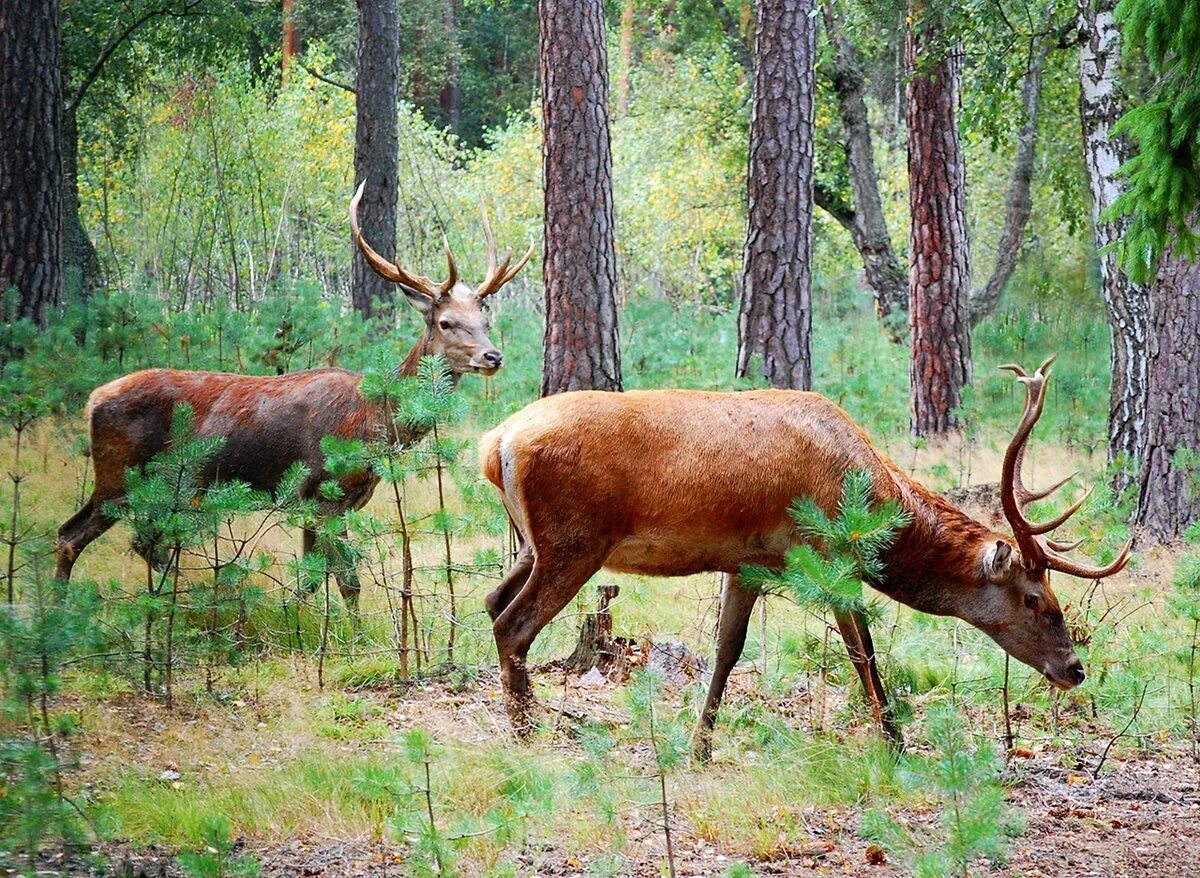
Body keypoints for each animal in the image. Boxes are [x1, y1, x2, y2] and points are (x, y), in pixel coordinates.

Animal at [55, 183, 535, 609]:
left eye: (484, 320)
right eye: (446, 323)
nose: (493, 356)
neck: (375, 420)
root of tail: (93, 399)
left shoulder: (322, 502)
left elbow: (312, 577)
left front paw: (298, 620)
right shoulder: (326, 494)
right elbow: (347, 581)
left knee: (108, 536)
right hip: (118, 474)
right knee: (81, 536)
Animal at [480, 357, 1132, 753]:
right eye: (1035, 599)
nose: (1075, 669)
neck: (866, 487)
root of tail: (495, 444)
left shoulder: (746, 561)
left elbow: (728, 650)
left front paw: (700, 746)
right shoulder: (830, 556)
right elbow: (863, 651)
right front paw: (894, 743)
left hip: (533, 543)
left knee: (491, 601)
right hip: (574, 542)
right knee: (514, 624)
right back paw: (526, 732)